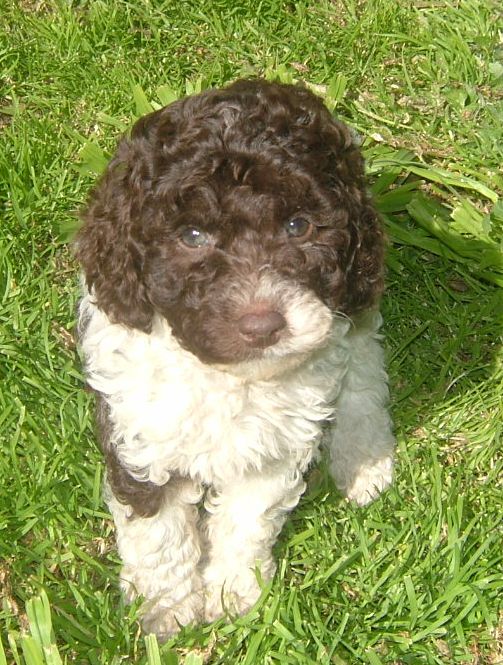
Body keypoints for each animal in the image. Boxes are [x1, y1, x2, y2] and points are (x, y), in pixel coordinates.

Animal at [77, 79, 396, 640]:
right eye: (192, 237)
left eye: (298, 225)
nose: (262, 325)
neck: (228, 378)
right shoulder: (140, 438)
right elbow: (160, 536)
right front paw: (165, 611)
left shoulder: (275, 450)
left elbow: (247, 523)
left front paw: (232, 595)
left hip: (354, 305)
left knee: (363, 362)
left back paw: (364, 456)